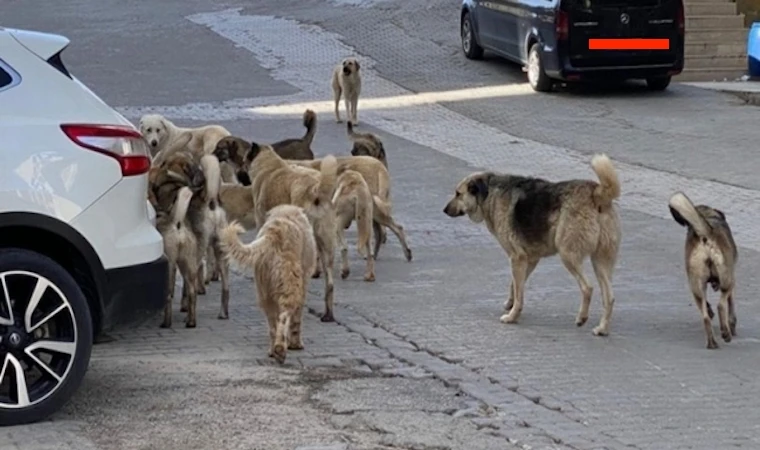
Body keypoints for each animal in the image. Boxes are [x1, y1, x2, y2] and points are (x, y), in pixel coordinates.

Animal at [154, 187, 199, 330]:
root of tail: (177, 223)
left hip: (170, 265)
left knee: (168, 294)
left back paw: (166, 323)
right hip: (188, 265)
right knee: (192, 292)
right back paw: (191, 322)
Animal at [220, 206, 318, 364]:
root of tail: (274, 234)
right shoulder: (303, 284)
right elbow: (296, 319)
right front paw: (296, 344)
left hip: (264, 292)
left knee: (273, 324)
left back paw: (274, 351)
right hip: (290, 286)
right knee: (284, 317)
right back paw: (280, 349)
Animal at [233, 142, 336, 322]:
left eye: (244, 161)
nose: (239, 176)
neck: (269, 164)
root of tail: (316, 189)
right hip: (326, 245)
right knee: (329, 284)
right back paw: (327, 314)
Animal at [442, 153, 620, 336]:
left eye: (458, 194)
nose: (444, 210)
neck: (490, 193)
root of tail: (596, 193)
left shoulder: (517, 258)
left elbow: (519, 292)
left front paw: (512, 317)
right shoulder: (529, 259)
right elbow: (515, 286)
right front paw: (510, 304)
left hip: (568, 255)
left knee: (587, 287)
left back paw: (581, 318)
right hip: (600, 262)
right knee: (609, 297)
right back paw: (602, 328)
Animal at [668, 190, 740, 348]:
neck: (708, 215)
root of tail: (705, 234)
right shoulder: (731, 279)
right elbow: (731, 305)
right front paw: (732, 326)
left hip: (696, 285)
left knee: (705, 317)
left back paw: (712, 342)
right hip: (728, 279)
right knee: (721, 305)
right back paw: (726, 333)